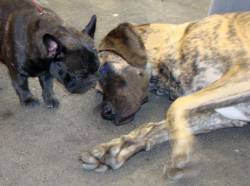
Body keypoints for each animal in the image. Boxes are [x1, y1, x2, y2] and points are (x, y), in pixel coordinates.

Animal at [80, 12, 250, 178]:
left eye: (104, 69)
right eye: (99, 91)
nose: (105, 113)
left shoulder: (243, 73)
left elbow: (175, 106)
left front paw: (181, 149)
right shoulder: (226, 115)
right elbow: (157, 127)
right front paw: (116, 148)